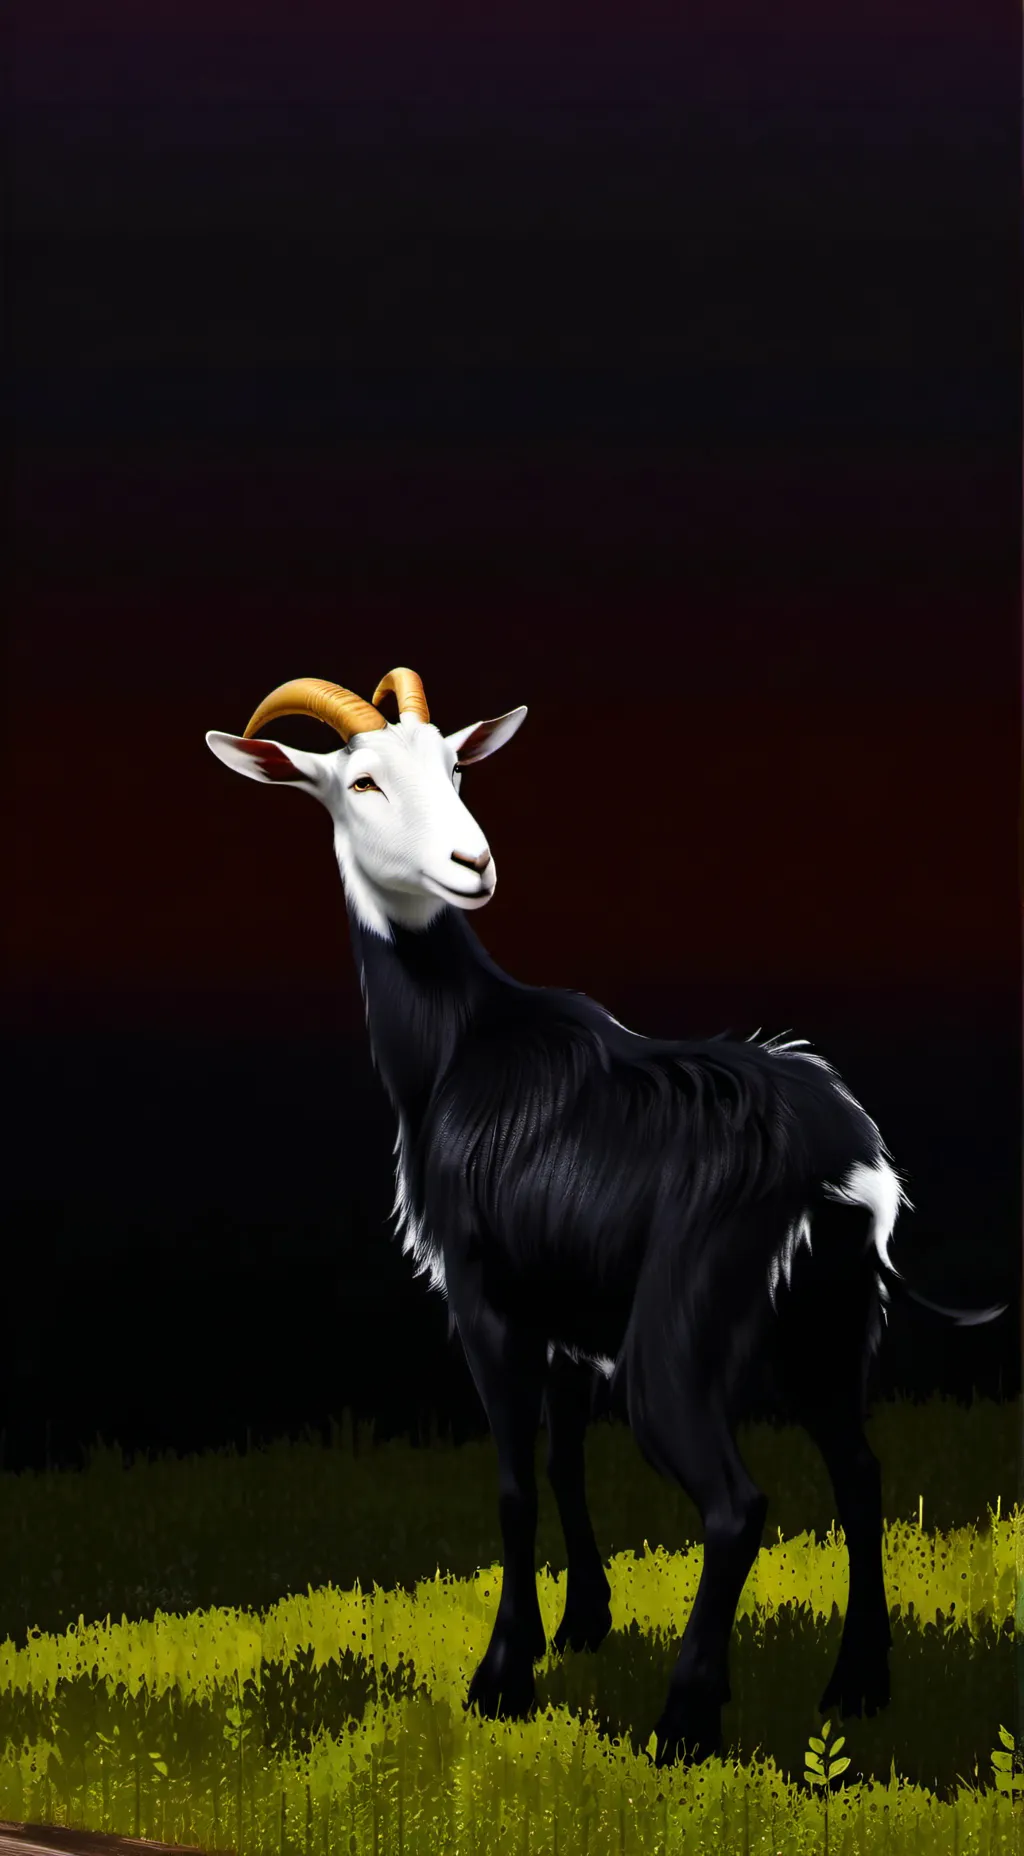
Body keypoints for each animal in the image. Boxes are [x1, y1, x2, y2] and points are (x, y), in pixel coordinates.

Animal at [206, 666, 1005, 1767]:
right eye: (360, 781)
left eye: (456, 767)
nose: (472, 863)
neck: (462, 1043)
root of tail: (842, 1159)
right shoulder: (567, 1315)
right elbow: (561, 1458)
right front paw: (584, 1622)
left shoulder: (483, 1296)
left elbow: (510, 1479)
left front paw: (503, 1675)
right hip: (829, 1325)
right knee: (859, 1472)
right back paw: (855, 1688)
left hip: (680, 1338)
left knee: (737, 1503)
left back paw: (685, 1722)